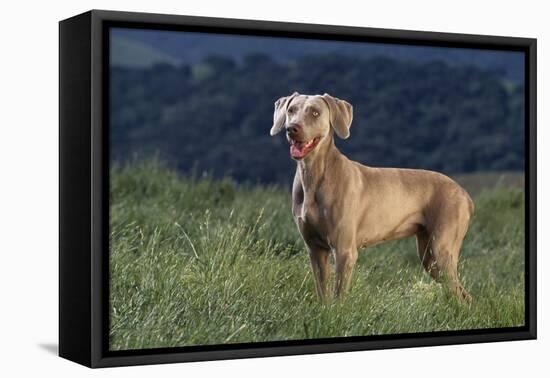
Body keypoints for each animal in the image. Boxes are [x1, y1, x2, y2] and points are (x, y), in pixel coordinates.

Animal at [270, 93, 474, 302]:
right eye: (291, 110)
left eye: (315, 112)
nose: (292, 128)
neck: (313, 175)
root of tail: (464, 194)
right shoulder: (315, 250)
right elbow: (323, 295)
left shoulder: (344, 251)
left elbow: (339, 298)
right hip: (429, 256)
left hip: (441, 249)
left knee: (461, 296)